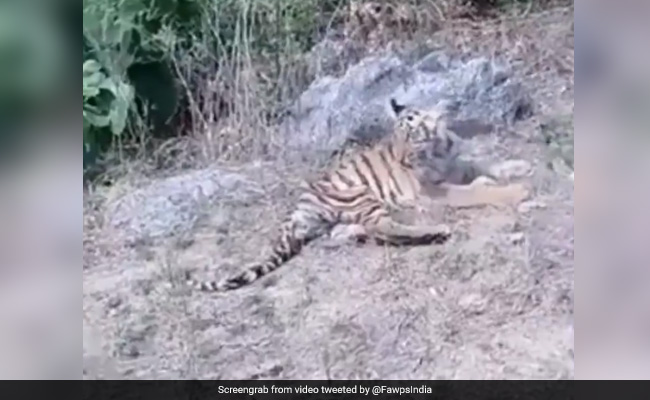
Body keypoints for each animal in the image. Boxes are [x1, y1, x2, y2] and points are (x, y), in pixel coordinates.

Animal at [186, 98, 529, 293]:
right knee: (386, 229)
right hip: (360, 194)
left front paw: (518, 166)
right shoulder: (436, 191)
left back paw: (356, 235)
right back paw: (436, 231)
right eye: (400, 140)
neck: (440, 149)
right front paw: (517, 189)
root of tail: (295, 212)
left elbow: (487, 165)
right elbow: (478, 190)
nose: (402, 159)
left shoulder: (459, 162)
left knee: (351, 233)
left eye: (413, 136)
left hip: (344, 216)